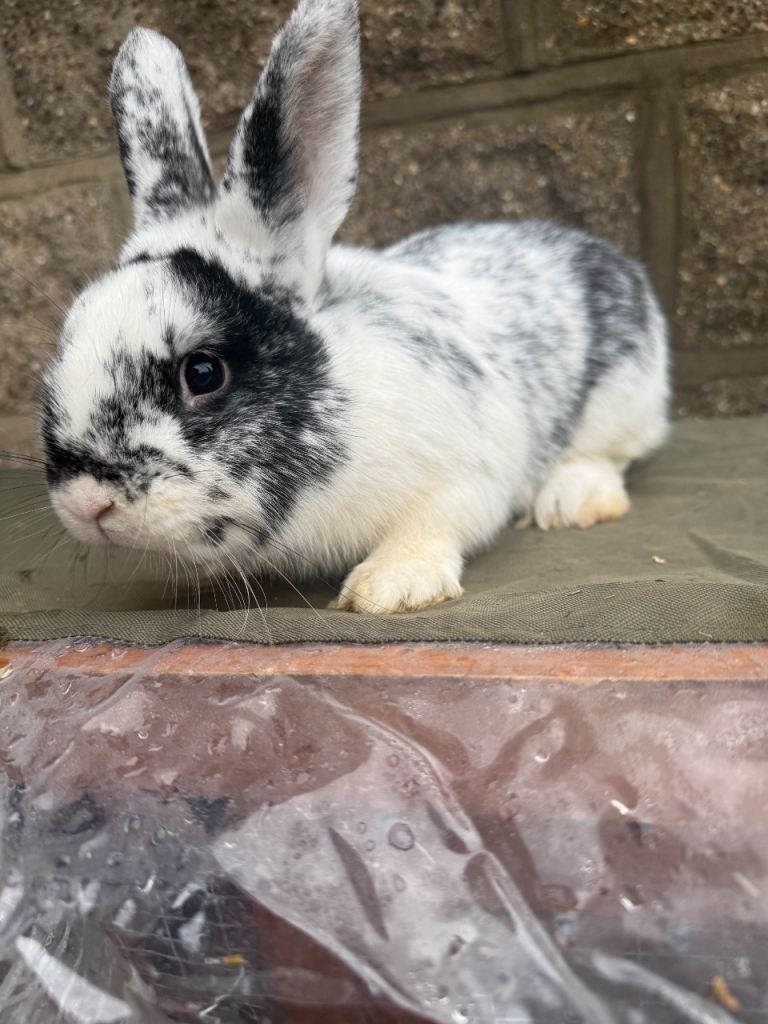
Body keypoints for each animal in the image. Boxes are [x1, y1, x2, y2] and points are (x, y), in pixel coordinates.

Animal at [41, 0, 669, 615]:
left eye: (203, 372)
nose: (88, 505)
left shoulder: (462, 478)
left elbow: (430, 528)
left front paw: (389, 588)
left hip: (624, 398)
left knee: (610, 452)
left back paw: (571, 501)